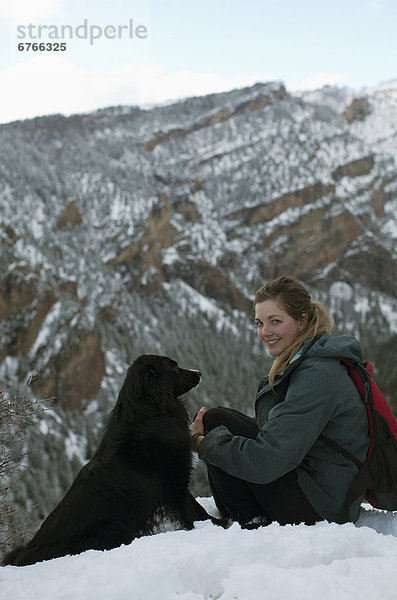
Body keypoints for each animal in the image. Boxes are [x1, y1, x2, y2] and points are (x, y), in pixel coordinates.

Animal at [2, 354, 217, 564]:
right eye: (173, 367)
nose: (199, 373)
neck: (149, 414)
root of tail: (26, 552)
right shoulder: (174, 484)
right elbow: (194, 511)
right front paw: (217, 524)